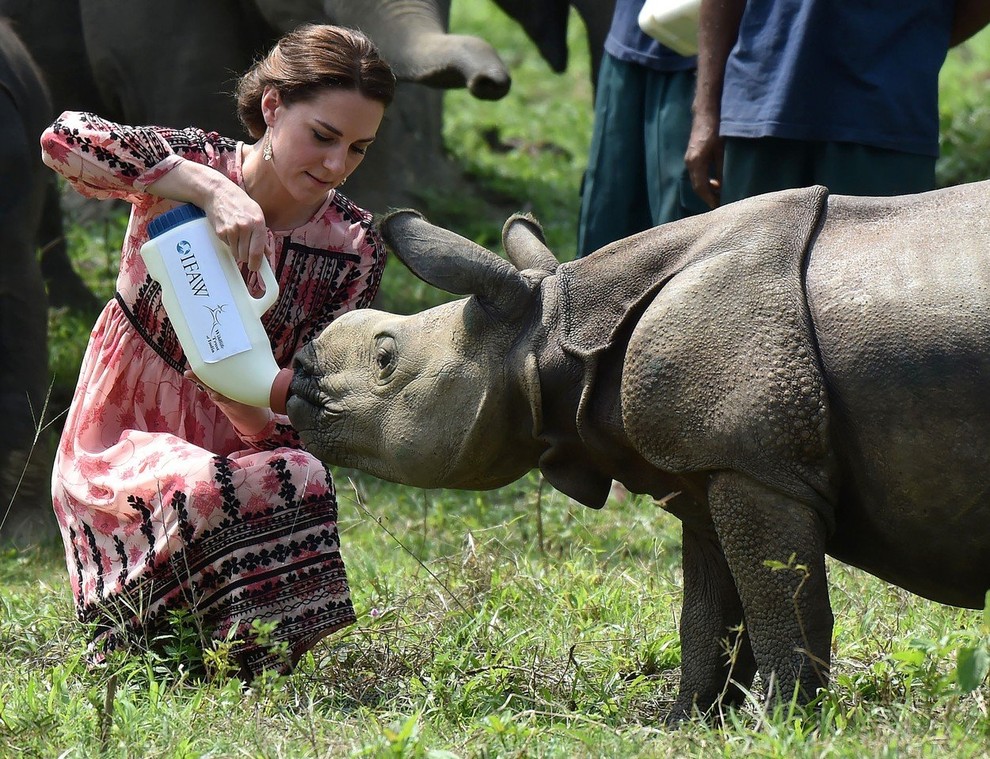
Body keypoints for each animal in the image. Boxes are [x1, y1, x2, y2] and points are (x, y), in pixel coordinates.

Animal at [284, 181, 990, 720]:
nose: (297, 376)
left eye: (385, 358)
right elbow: (709, 612)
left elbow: (782, 604)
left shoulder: (759, 464)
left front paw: (785, 722)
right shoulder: (710, 462)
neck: (551, 335)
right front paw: (687, 724)